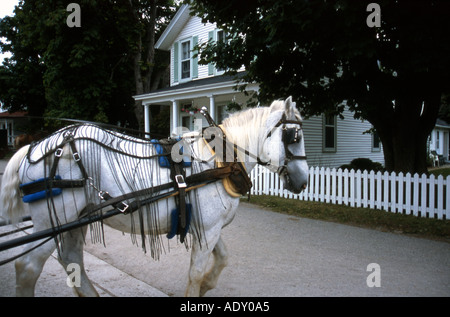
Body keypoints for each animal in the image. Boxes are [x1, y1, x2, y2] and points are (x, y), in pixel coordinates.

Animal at [0, 95, 308, 294]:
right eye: (294, 137)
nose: (304, 181)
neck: (218, 162)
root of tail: (34, 147)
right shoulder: (207, 229)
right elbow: (195, 274)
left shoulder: (208, 227)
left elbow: (222, 258)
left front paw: (208, 285)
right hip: (53, 221)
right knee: (28, 267)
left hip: (74, 220)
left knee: (72, 260)